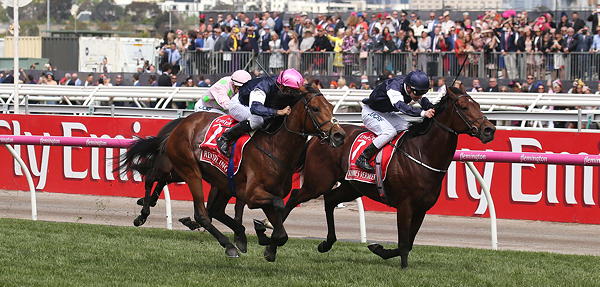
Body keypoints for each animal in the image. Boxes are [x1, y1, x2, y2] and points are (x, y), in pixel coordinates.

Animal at [162, 85, 344, 260]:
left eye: (331, 107)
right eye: (315, 108)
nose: (339, 135)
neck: (274, 148)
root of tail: (183, 123)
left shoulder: (266, 194)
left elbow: (282, 232)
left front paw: (267, 242)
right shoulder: (251, 195)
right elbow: (279, 204)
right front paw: (262, 232)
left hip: (223, 182)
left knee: (215, 210)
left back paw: (240, 236)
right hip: (190, 171)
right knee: (202, 214)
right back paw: (229, 246)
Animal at [274, 86, 494, 268]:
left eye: (478, 105)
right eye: (464, 107)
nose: (489, 129)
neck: (422, 153)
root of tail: (320, 137)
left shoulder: (422, 208)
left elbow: (409, 243)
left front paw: (378, 248)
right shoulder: (405, 205)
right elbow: (404, 243)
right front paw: (403, 267)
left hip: (351, 186)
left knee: (329, 200)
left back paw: (327, 243)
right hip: (318, 182)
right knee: (295, 197)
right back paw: (273, 233)